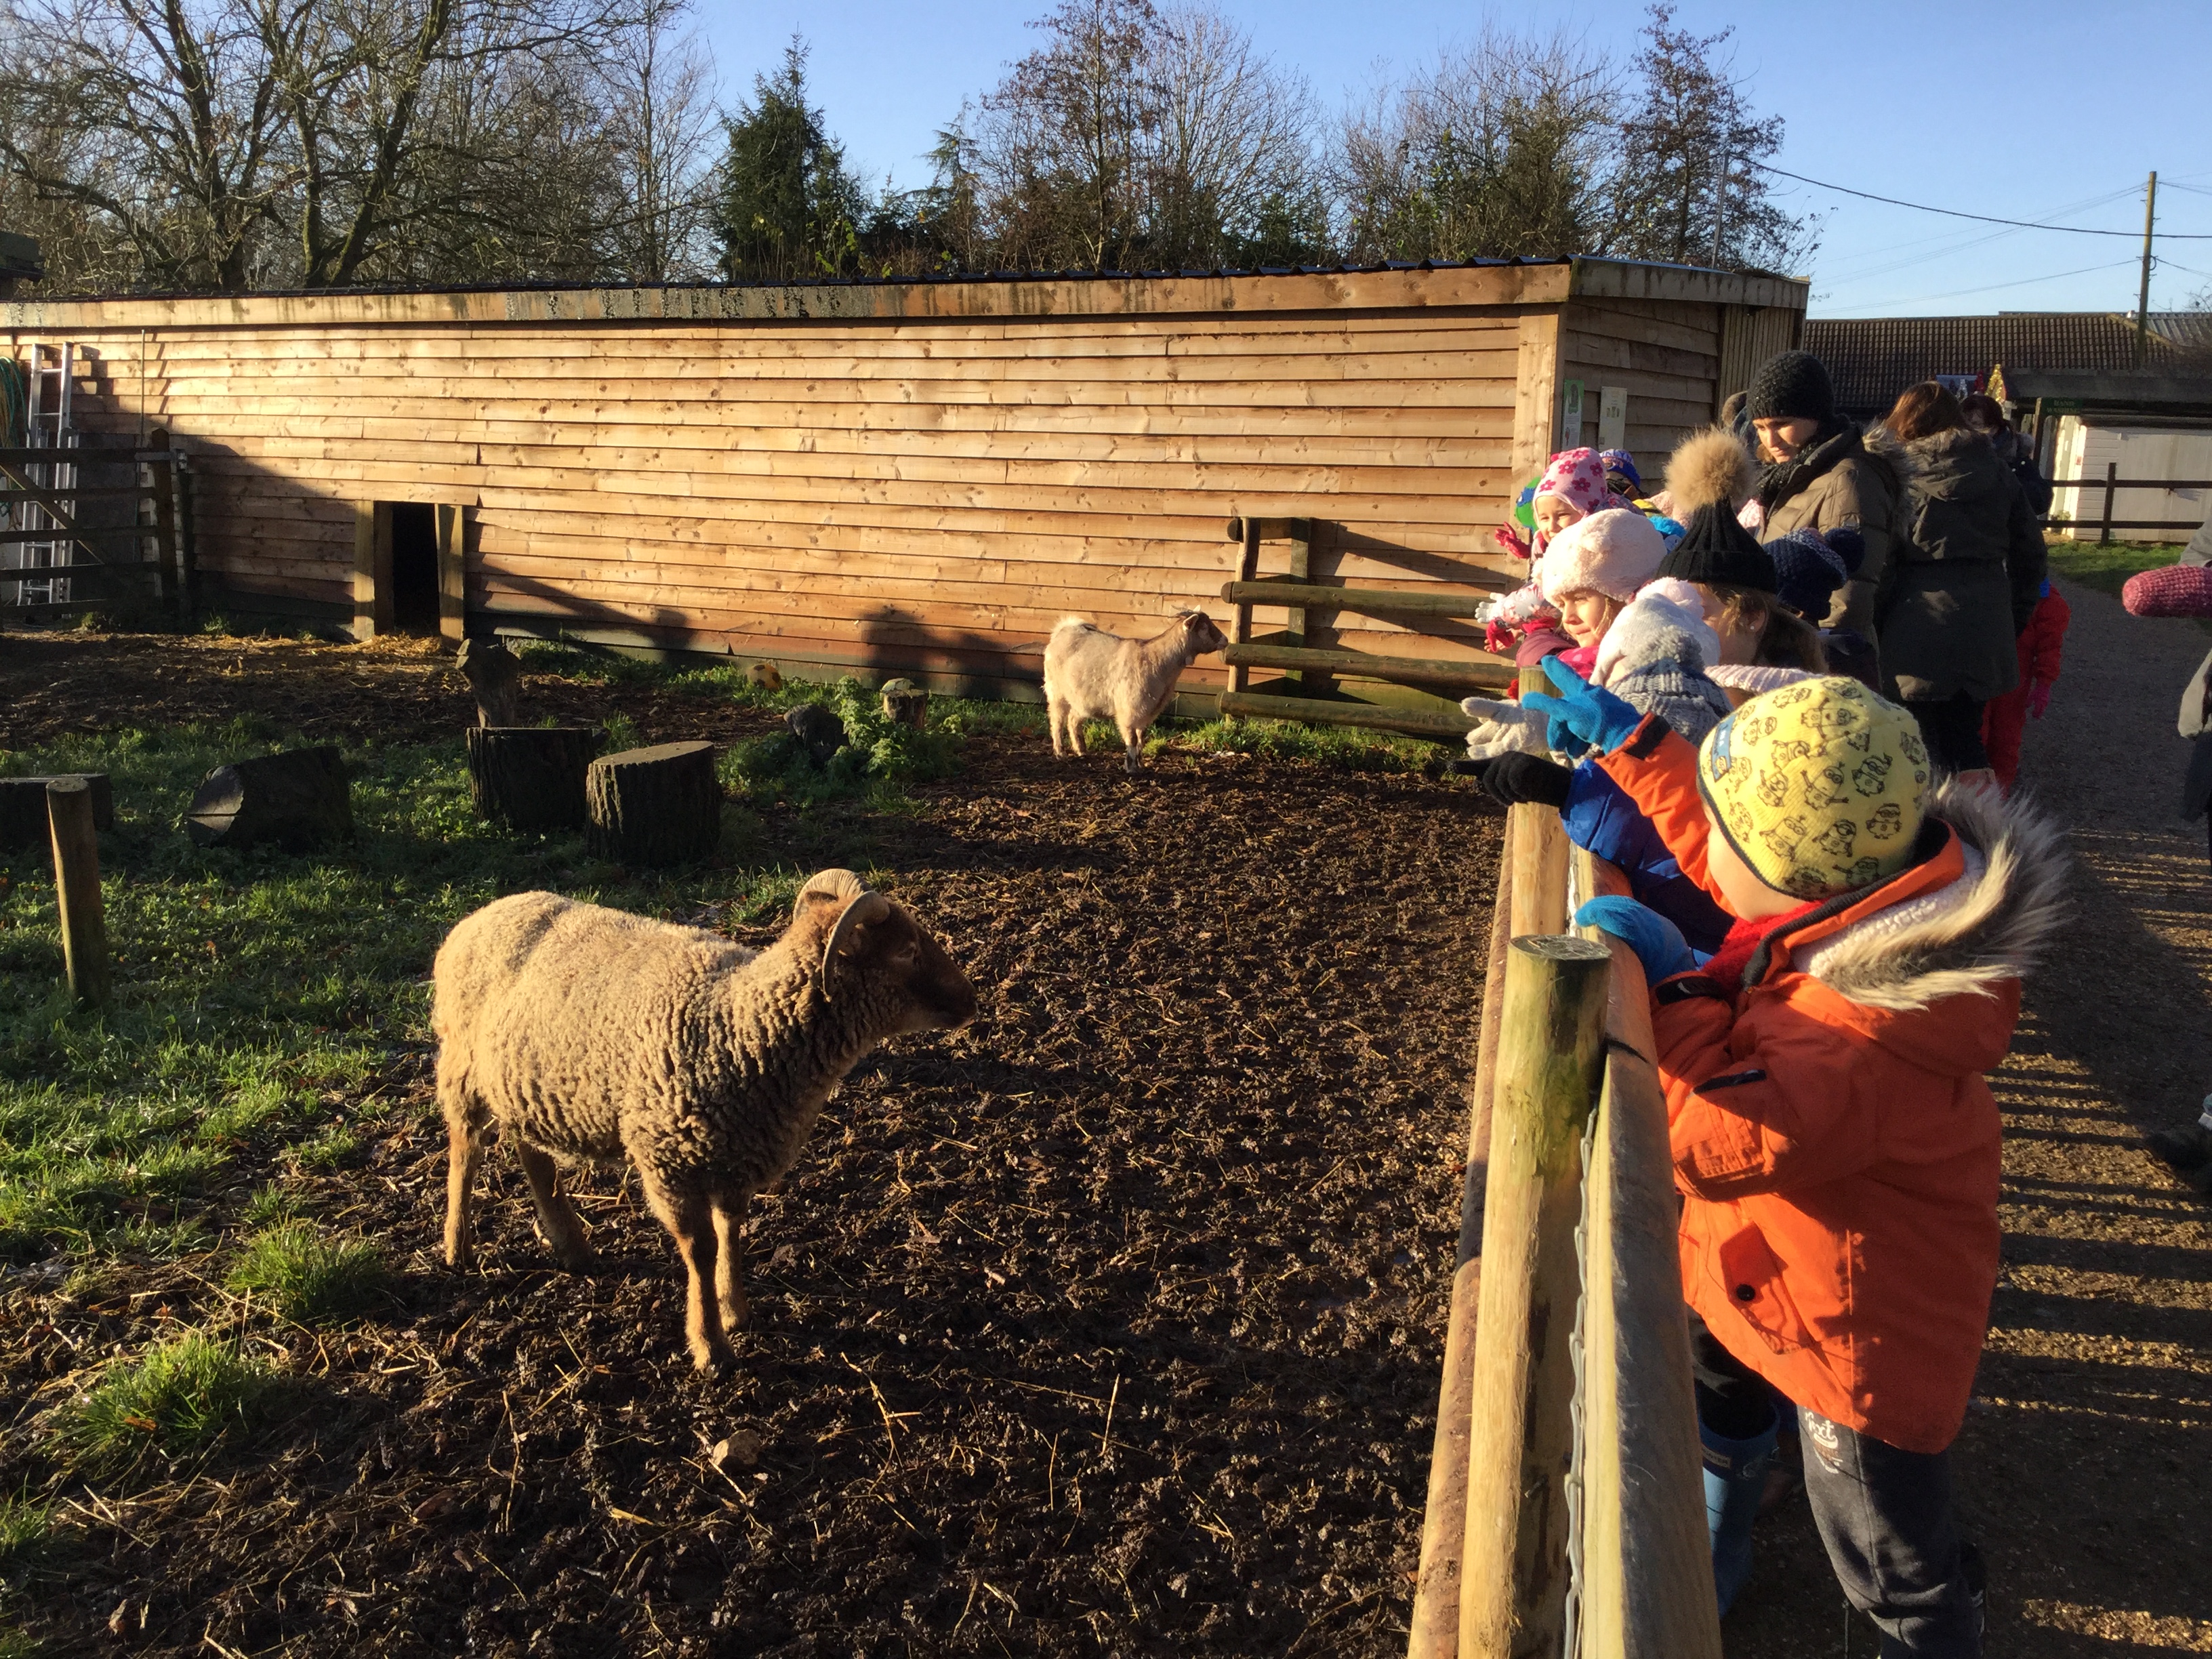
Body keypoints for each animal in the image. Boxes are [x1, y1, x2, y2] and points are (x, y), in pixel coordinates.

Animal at [436, 872, 973, 1380]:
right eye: (907, 951)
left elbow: (731, 1230)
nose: (972, 1001)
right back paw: (457, 1248)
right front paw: (711, 1345)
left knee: (532, 1154)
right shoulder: (670, 1161)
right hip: (462, 1066)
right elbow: (701, 1250)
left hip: (524, 1085)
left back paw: (572, 1246)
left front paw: (735, 1309)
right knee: (466, 1150)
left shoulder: (735, 1155)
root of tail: (480, 915)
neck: (738, 1022)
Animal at [1040, 610, 1229, 774]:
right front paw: (1130, 767)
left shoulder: (1148, 710)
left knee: (1073, 719)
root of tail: (1064, 630)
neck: (1157, 661)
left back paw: (1082, 750)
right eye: (1203, 627)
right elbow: (1132, 740)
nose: (1226, 640)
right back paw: (1060, 753)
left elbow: (1141, 739)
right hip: (1056, 692)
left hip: (1082, 698)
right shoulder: (1130, 711)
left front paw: (1140, 764)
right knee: (1057, 721)